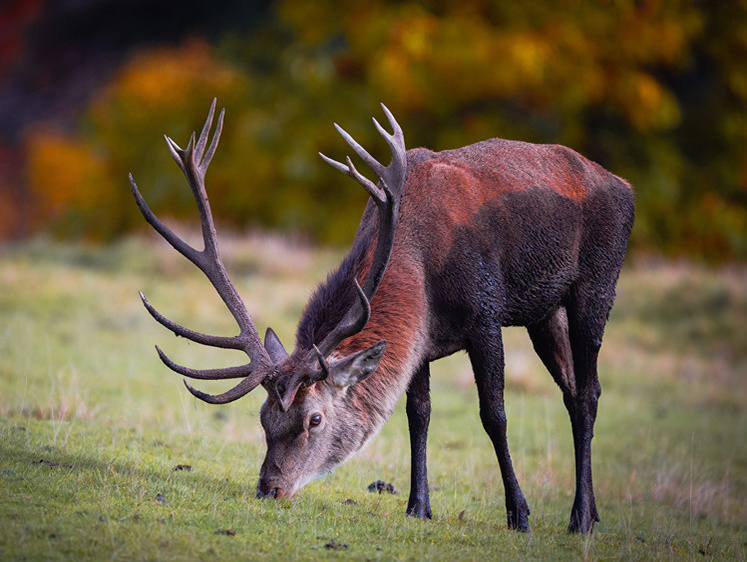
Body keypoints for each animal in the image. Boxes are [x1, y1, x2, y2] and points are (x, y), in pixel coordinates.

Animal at [130, 98, 636, 532]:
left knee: (589, 393)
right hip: (543, 313)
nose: (269, 489)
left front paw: (519, 515)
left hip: (598, 282)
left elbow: (494, 414)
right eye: (263, 418)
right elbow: (418, 414)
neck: (420, 265)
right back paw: (590, 512)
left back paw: (579, 518)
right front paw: (418, 507)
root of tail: (624, 185)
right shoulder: (422, 339)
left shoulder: (485, 315)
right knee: (572, 392)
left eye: (314, 419)